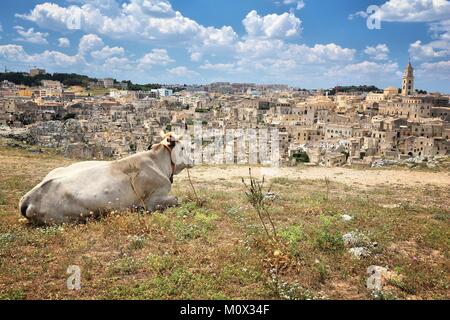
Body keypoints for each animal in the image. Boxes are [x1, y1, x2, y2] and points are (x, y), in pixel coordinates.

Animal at [18, 132, 193, 225]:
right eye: (182, 147)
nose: (193, 160)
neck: (157, 161)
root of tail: (29, 198)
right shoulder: (152, 201)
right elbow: (178, 199)